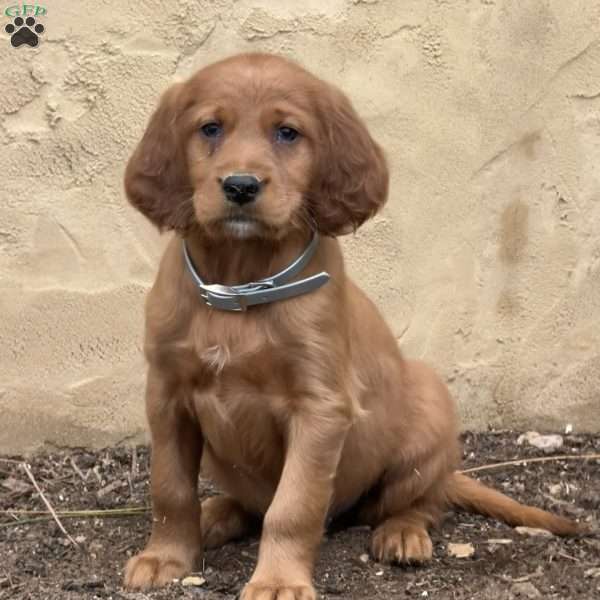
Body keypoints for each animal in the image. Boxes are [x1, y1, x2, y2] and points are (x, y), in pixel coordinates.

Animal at [123, 54, 580, 596]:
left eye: (287, 133)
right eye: (210, 128)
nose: (240, 186)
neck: (241, 285)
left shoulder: (320, 408)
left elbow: (293, 505)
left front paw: (278, 580)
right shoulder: (166, 395)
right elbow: (170, 489)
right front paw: (166, 558)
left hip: (429, 414)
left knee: (423, 502)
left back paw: (402, 533)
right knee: (248, 504)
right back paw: (217, 513)